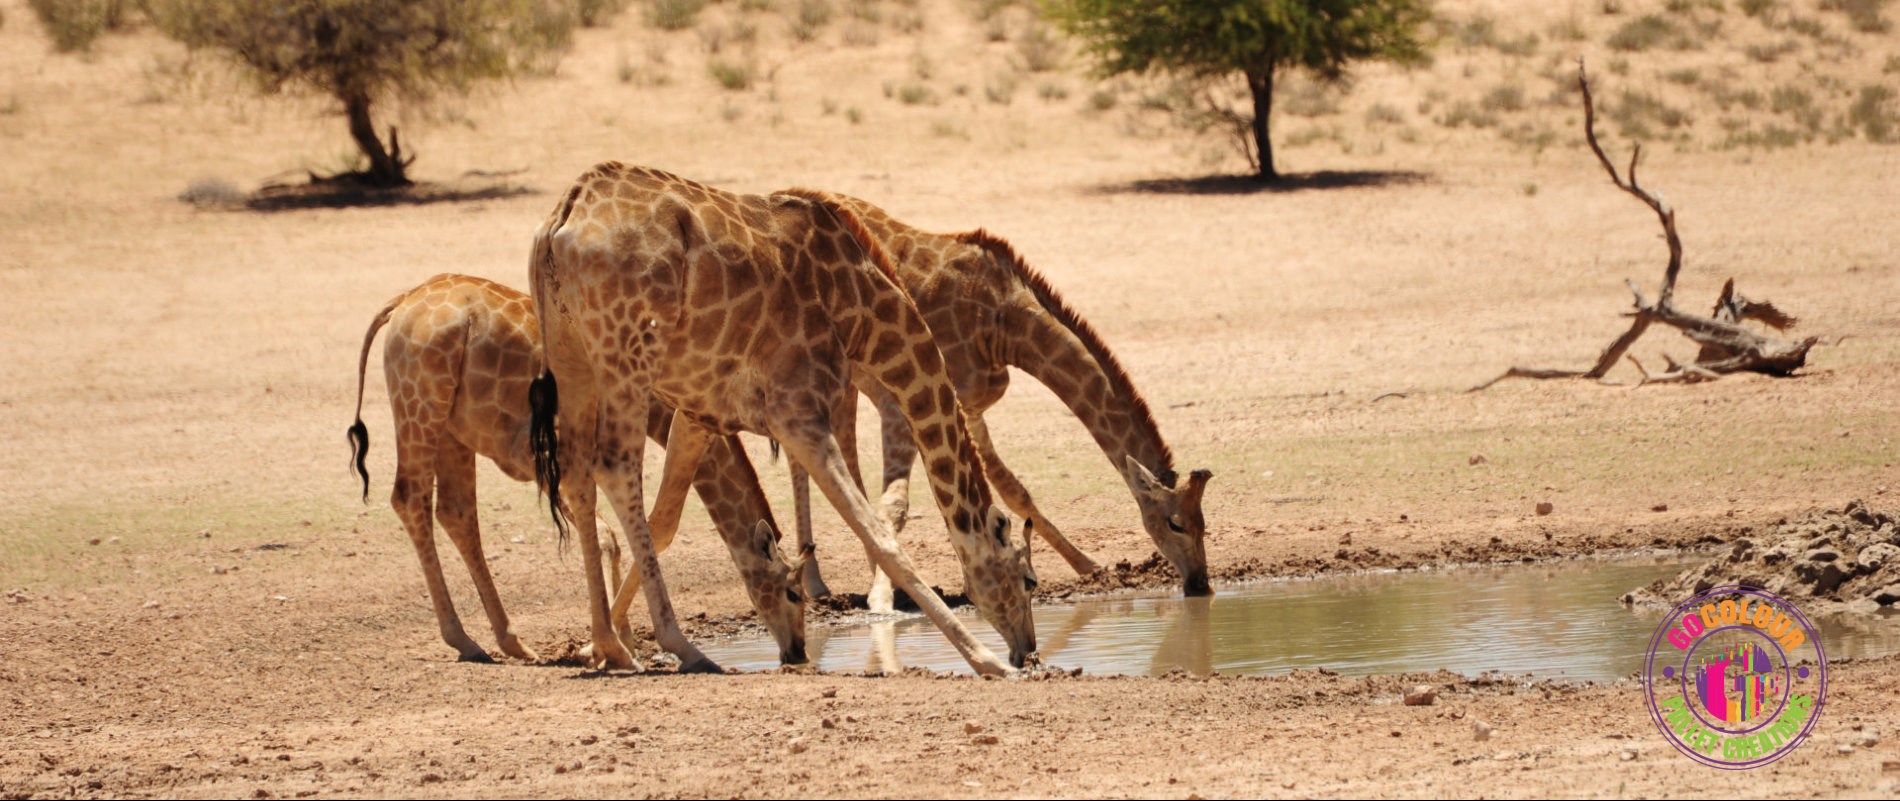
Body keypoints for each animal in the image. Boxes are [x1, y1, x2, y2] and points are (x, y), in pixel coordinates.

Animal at [349, 271, 809, 668]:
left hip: (451, 430)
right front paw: (614, 644)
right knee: (410, 498)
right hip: (422, 407)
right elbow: (647, 525)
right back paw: (464, 638)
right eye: (792, 592)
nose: (798, 652)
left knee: (456, 512)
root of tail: (399, 305)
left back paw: (508, 643)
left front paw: (616, 641)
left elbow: (624, 531)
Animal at [524, 162, 1041, 675]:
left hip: (572, 357)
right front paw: (987, 661)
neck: (864, 313)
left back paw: (609, 645)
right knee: (614, 466)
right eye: (1027, 577)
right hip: (627, 355)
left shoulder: (703, 414)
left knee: (577, 477)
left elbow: (665, 519)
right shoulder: (798, 410)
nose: (1029, 648)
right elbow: (875, 532)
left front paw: (593, 645)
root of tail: (560, 222)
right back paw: (683, 647)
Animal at [786, 195, 1216, 607]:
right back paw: (818, 582)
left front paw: (1088, 566)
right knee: (808, 455)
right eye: (1175, 522)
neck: (1006, 323)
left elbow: (1010, 487)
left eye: (1204, 521)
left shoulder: (972, 406)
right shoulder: (941, 396)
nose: (1200, 583)